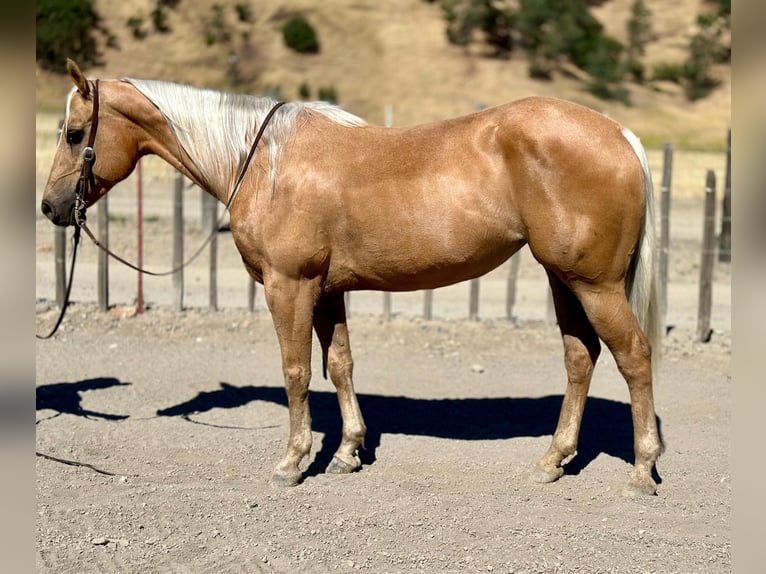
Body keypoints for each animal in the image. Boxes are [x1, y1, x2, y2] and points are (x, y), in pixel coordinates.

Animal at [41, 59, 663, 496]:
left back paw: (641, 469)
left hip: (595, 285)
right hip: (564, 278)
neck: (263, 161)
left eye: (73, 133)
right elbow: (339, 365)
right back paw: (553, 461)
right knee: (581, 358)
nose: (50, 206)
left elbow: (295, 372)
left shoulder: (289, 286)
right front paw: (347, 453)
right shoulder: (326, 291)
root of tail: (619, 134)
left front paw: (293, 462)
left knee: (633, 356)